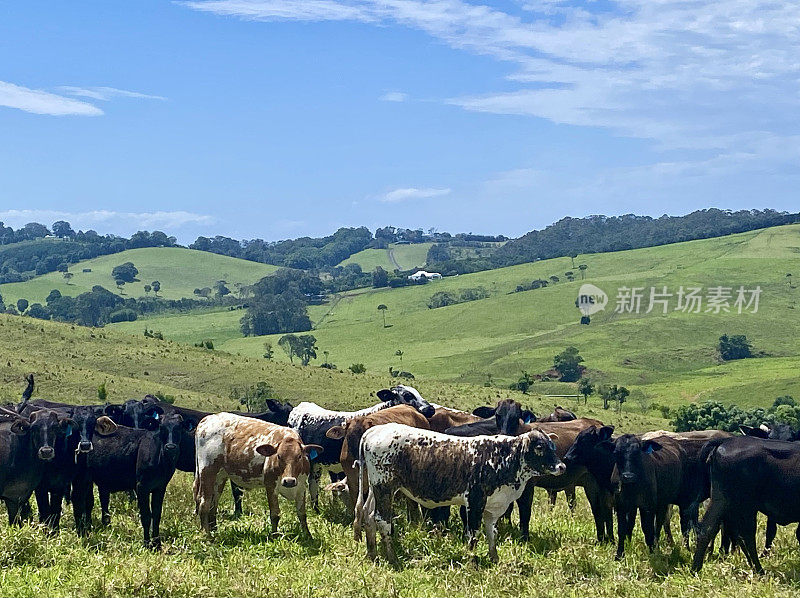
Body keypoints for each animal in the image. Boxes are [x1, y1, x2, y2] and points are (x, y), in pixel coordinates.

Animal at [195, 418, 324, 540]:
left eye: (299, 456)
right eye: (278, 456)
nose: (289, 481)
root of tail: (207, 419)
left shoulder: (301, 486)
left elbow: (302, 513)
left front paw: (308, 535)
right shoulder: (271, 485)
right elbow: (275, 513)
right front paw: (275, 536)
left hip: (220, 476)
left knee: (213, 504)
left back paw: (214, 530)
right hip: (207, 472)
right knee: (203, 503)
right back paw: (207, 535)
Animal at [354, 424, 564, 564]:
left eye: (553, 446)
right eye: (540, 447)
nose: (561, 466)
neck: (500, 457)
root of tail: (374, 430)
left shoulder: (493, 505)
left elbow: (492, 532)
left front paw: (494, 558)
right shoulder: (475, 500)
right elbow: (473, 533)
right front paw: (471, 560)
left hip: (376, 488)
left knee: (368, 515)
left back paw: (372, 553)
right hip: (384, 486)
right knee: (382, 520)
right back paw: (392, 558)